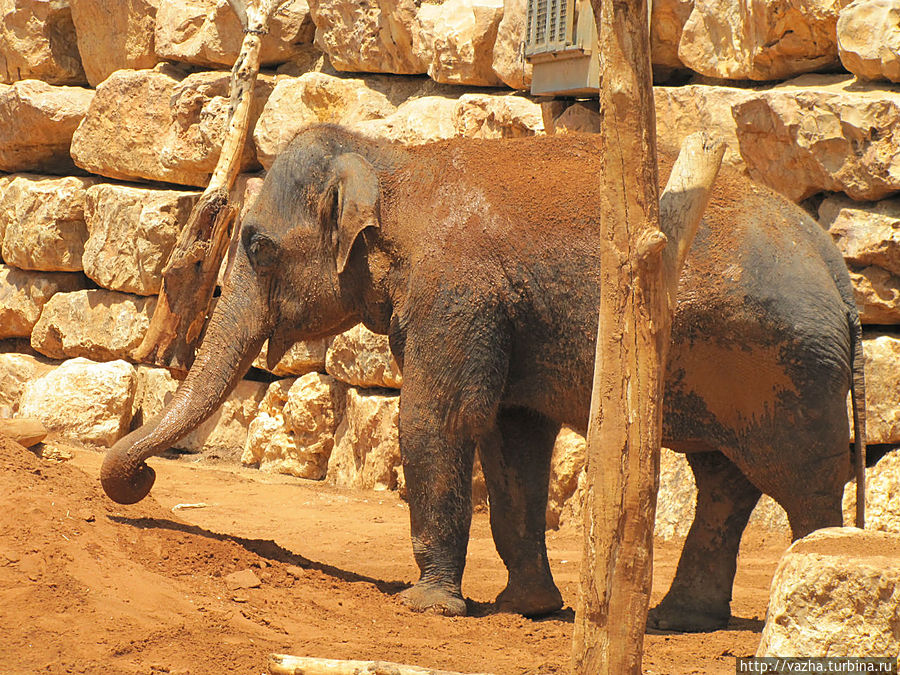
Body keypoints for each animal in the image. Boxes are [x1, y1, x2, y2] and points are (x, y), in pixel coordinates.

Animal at [98, 125, 864, 632]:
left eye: (255, 245)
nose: (144, 481)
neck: (395, 159)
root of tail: (839, 270)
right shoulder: (502, 321)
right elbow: (509, 440)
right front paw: (525, 609)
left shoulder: (457, 293)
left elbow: (435, 420)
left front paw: (427, 606)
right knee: (722, 481)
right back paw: (677, 621)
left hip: (790, 370)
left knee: (803, 486)